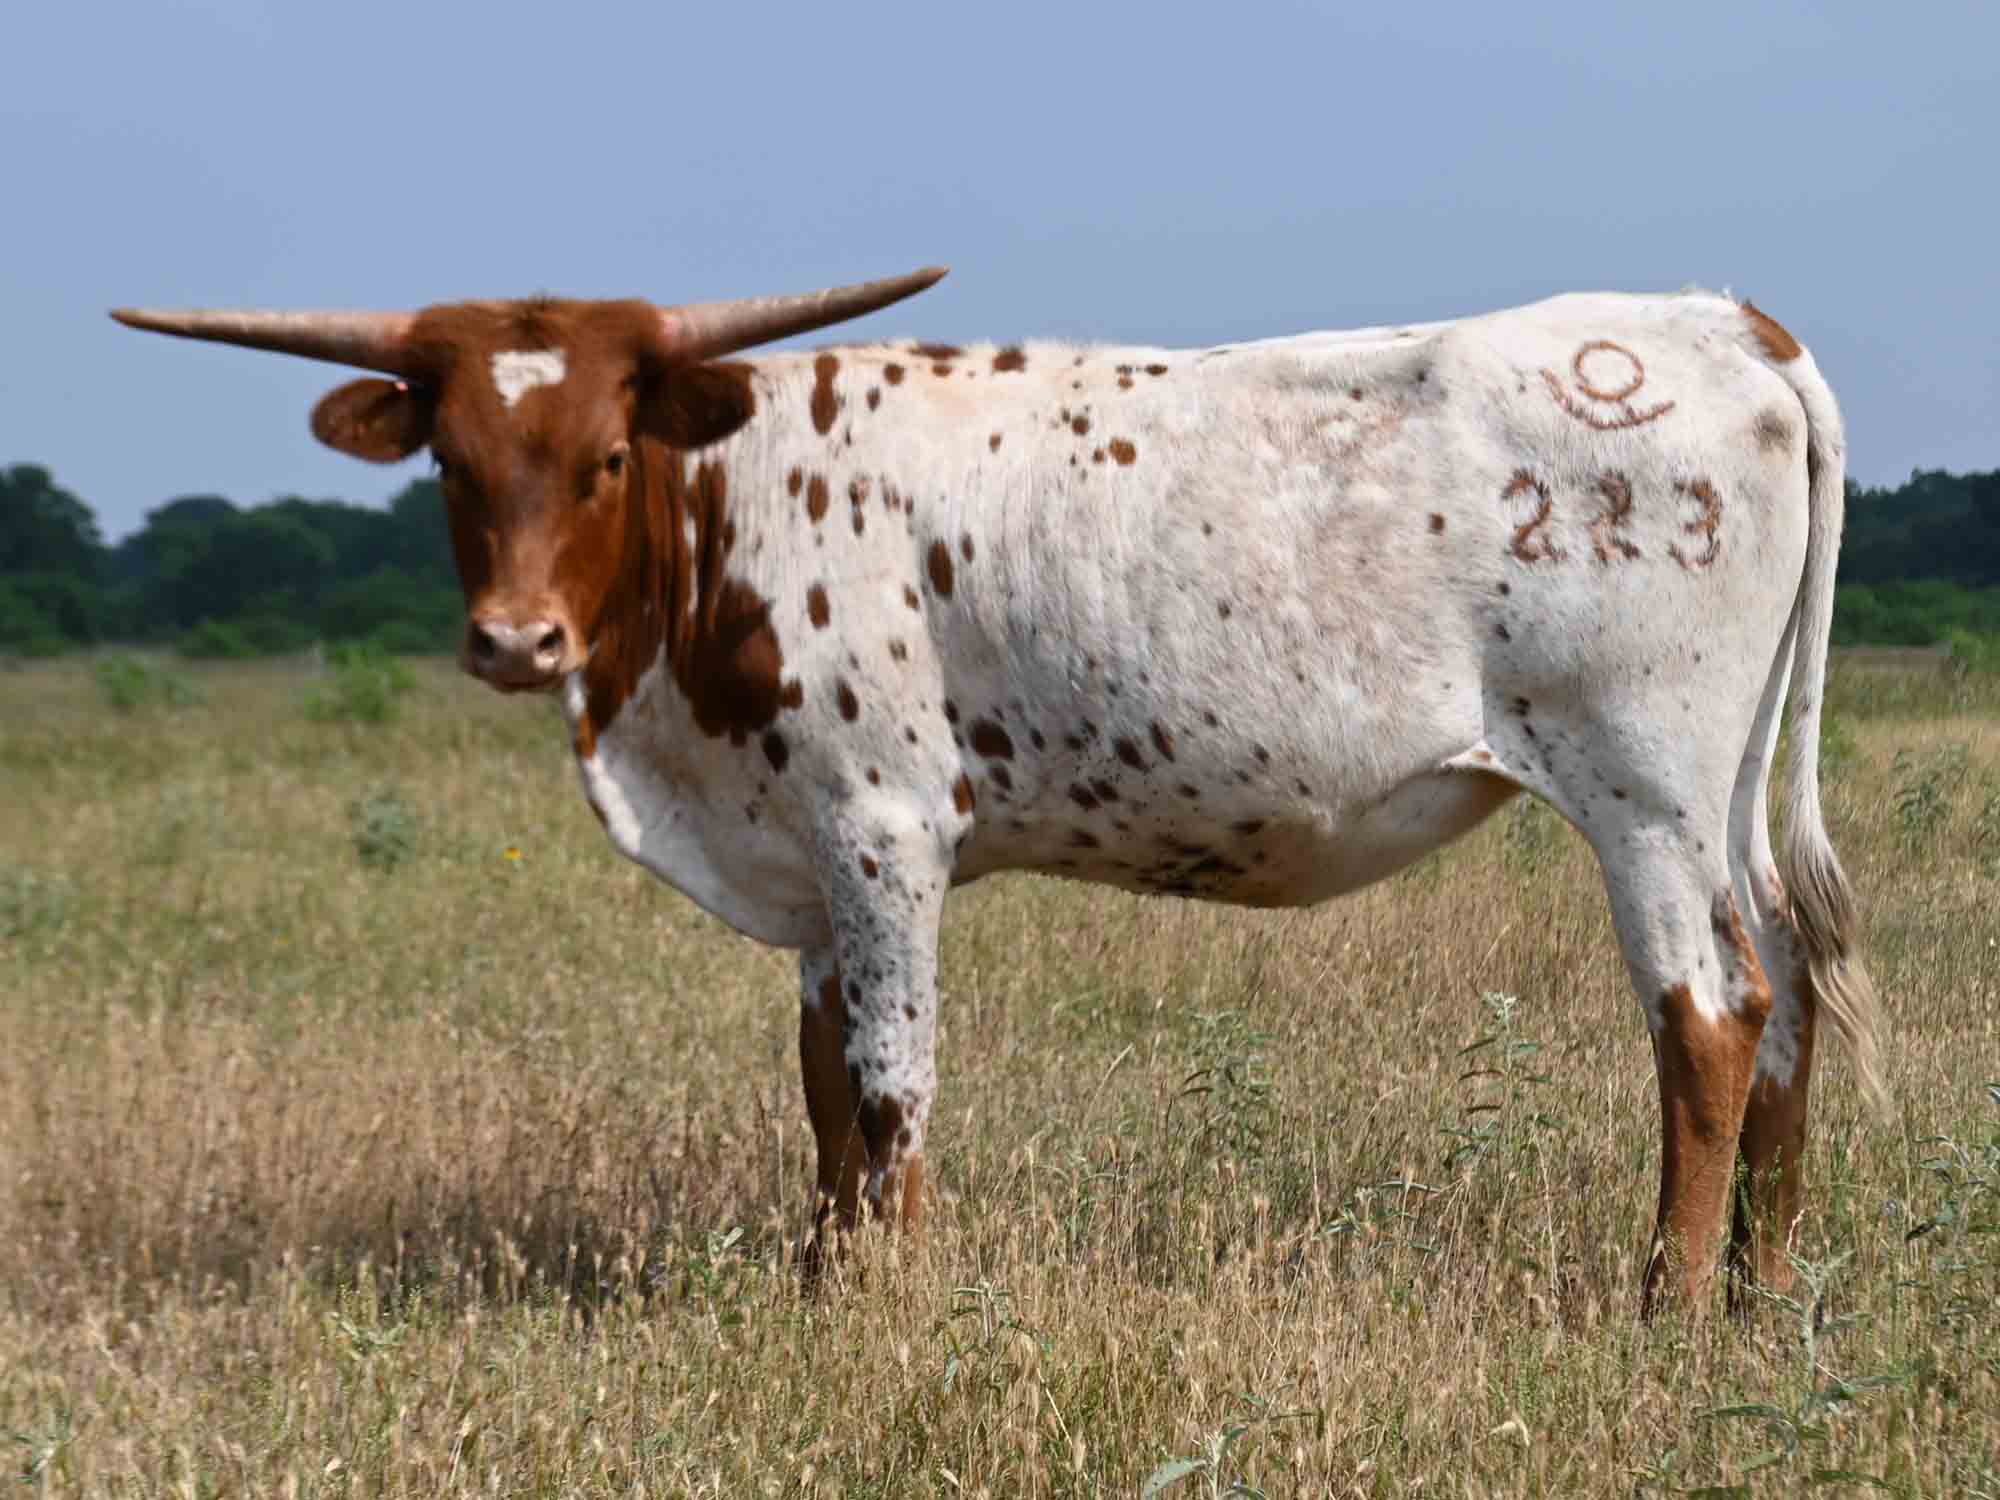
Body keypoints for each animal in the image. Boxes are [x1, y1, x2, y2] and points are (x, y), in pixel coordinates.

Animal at [114, 269, 1880, 1314]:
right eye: (453, 462)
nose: (511, 638)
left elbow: (893, 1087)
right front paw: (823, 1295)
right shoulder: (807, 861)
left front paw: (889, 1309)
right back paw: (1764, 1289)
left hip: (1643, 782)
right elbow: (824, 1089)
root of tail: (1723, 324)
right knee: (1790, 985)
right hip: (1725, 788)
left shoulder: (883, 830)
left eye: (606, 454)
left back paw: (1666, 1307)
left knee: (1710, 1014)